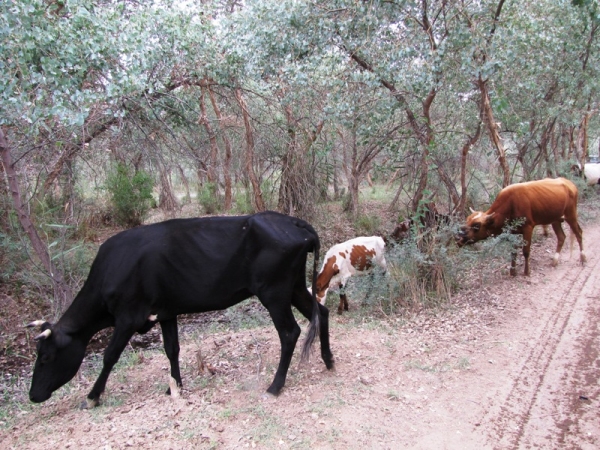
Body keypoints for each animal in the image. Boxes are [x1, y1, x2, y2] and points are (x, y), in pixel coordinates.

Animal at [28, 212, 332, 408]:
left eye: (45, 357)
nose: (33, 395)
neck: (110, 270)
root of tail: (293, 221)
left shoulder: (128, 317)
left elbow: (109, 356)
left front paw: (92, 396)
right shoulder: (166, 312)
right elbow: (171, 349)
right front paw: (174, 385)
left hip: (274, 292)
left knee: (289, 332)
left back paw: (275, 386)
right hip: (293, 287)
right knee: (321, 313)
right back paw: (328, 360)